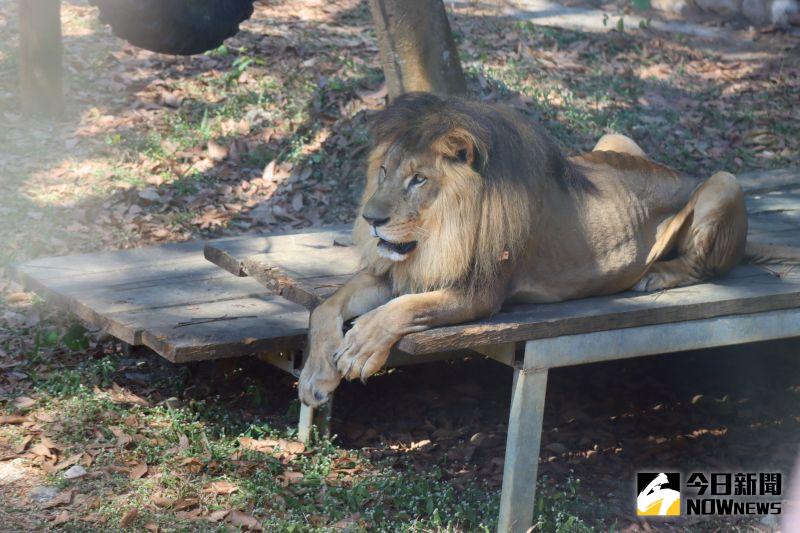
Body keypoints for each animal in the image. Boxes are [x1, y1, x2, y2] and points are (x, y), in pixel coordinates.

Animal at [296, 92, 784, 408]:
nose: (371, 219)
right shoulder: (397, 270)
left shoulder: (481, 293)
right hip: (614, 139)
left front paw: (360, 348)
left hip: (724, 181)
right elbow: (325, 307)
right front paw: (315, 377)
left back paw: (657, 274)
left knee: (706, 264)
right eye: (383, 170)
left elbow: (405, 309)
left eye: (419, 179)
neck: (438, 233)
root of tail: (680, 172)